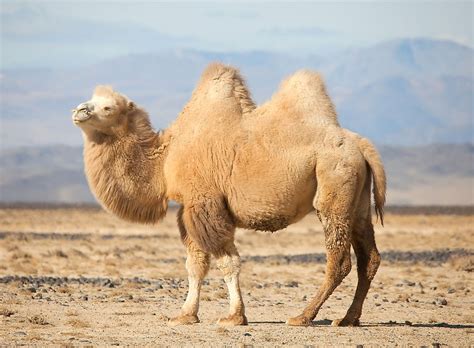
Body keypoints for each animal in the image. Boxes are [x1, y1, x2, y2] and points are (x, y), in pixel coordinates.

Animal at [72, 63, 386, 328]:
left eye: (108, 107)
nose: (79, 110)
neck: (165, 158)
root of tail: (361, 145)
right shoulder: (188, 208)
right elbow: (195, 264)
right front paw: (185, 315)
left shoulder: (206, 203)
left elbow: (227, 262)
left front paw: (234, 316)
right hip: (358, 202)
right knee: (369, 258)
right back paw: (348, 318)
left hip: (334, 185)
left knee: (339, 259)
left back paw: (303, 316)